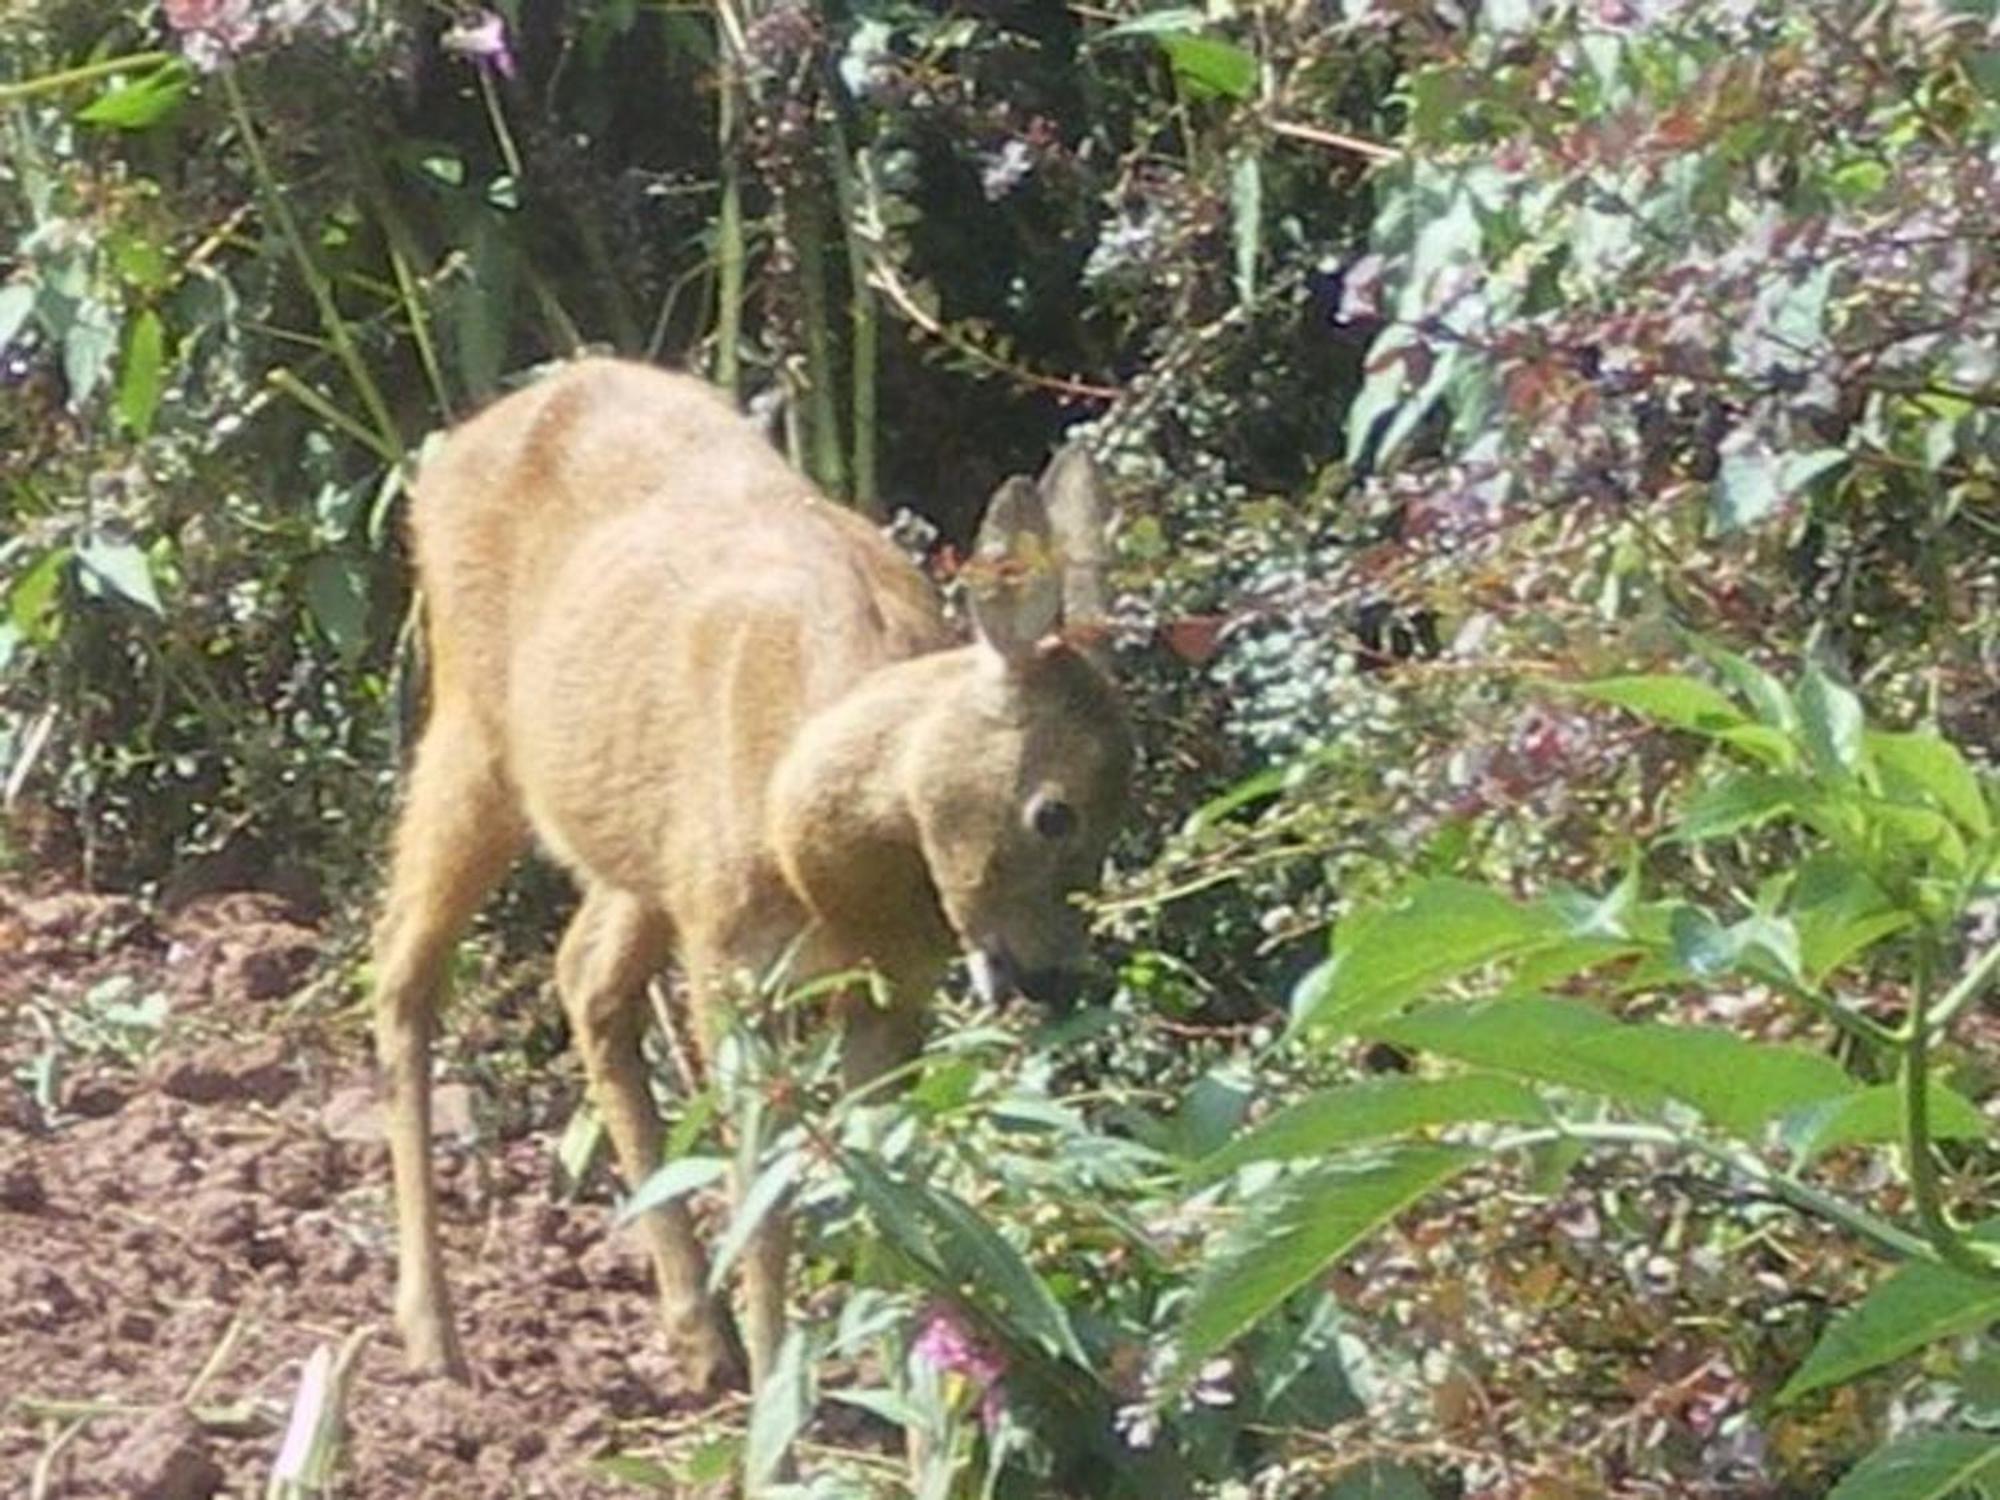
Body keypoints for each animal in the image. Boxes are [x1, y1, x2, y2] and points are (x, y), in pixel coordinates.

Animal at [372, 362, 1128, 1400]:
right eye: (1053, 813)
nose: (1052, 978)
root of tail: (456, 446)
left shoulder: (893, 986)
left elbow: (886, 1179)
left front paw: (900, 1383)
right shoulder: (735, 969)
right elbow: (766, 1194)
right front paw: (788, 1398)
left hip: (644, 847)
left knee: (583, 974)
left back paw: (698, 1332)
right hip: (476, 730)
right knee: (405, 969)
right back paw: (432, 1332)